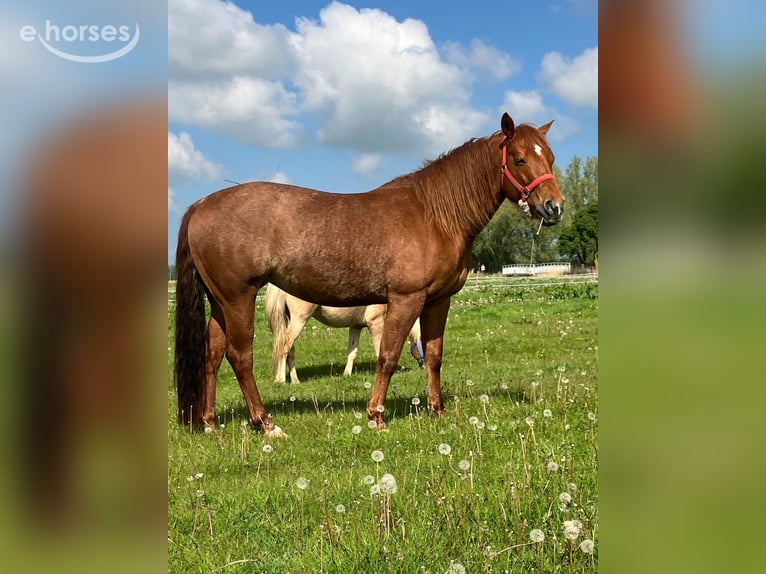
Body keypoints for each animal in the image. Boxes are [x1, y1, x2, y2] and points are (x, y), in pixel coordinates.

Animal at [264, 283, 424, 385]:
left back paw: (295, 381)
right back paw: (280, 380)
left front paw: (346, 374)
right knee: (284, 347)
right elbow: (380, 352)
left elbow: (352, 353)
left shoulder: (355, 327)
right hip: (299, 320)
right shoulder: (376, 324)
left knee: (290, 350)